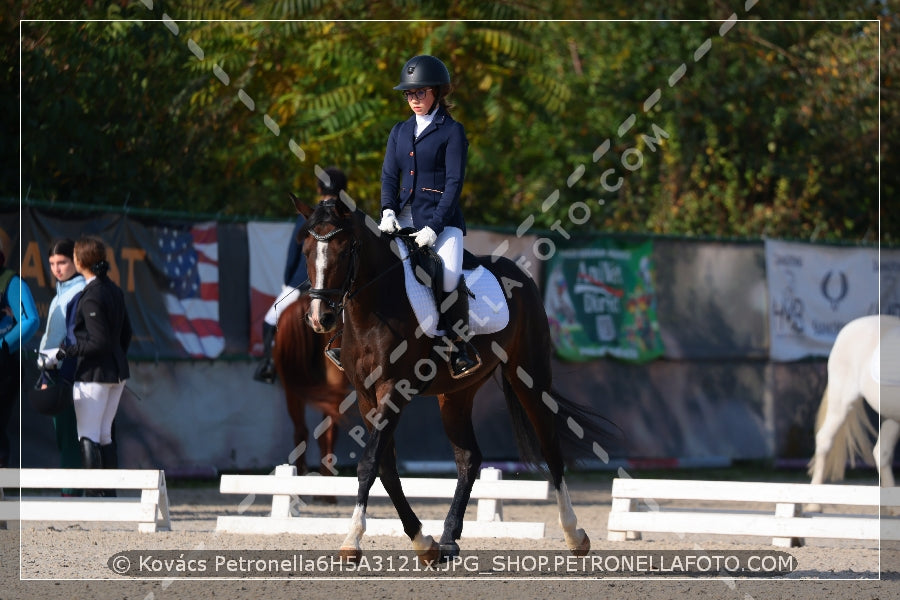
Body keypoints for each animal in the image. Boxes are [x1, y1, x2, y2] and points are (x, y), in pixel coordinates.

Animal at [292, 197, 616, 564]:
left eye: (345, 249)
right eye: (306, 250)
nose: (320, 318)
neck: (373, 310)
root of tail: (521, 274)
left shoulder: (394, 391)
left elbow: (369, 463)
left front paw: (352, 539)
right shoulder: (365, 396)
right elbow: (386, 468)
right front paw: (424, 543)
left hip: (530, 378)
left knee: (550, 446)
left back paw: (575, 535)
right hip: (456, 394)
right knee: (468, 457)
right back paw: (448, 539)